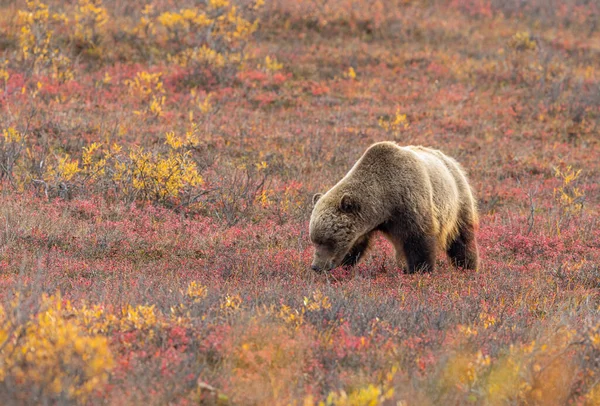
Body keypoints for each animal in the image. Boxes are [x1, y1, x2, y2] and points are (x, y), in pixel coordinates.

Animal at [310, 141, 478, 274]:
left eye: (329, 240)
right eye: (314, 240)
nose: (316, 267)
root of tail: (450, 160)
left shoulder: (411, 204)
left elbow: (419, 241)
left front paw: (421, 271)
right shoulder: (368, 223)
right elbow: (356, 245)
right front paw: (344, 267)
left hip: (458, 201)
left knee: (462, 238)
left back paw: (467, 266)